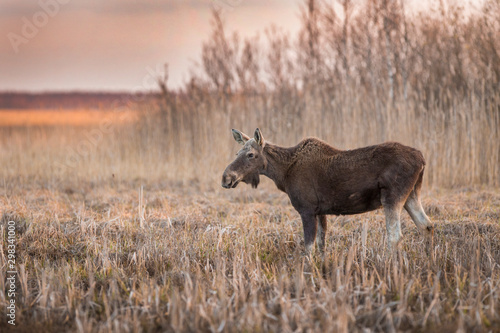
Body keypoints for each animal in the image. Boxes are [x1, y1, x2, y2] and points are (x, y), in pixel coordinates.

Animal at [221, 128, 432, 253]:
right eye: (237, 153)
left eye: (251, 154)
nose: (226, 178)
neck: (283, 173)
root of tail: (422, 159)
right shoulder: (320, 211)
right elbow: (322, 245)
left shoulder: (306, 209)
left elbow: (308, 248)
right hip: (411, 195)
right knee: (426, 226)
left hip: (392, 197)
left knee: (395, 236)